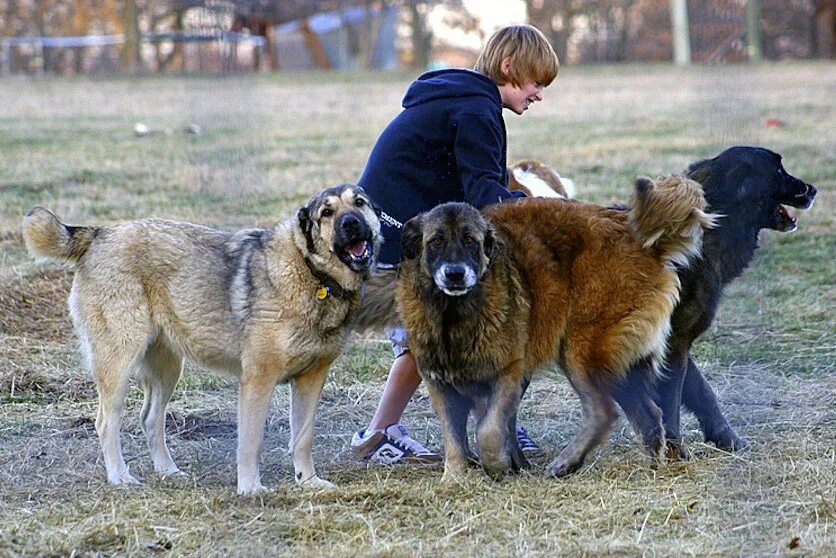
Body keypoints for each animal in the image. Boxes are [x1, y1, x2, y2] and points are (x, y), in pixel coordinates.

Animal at [22, 186, 382, 496]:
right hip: (118, 364)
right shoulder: (257, 380)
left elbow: (303, 438)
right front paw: (250, 488)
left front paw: (308, 482)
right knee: (106, 423)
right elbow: (250, 442)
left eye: (359, 203)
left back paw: (168, 471)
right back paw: (120, 477)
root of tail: (99, 234)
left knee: (150, 419)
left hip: (168, 369)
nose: (352, 223)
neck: (313, 275)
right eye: (327, 212)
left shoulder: (311, 380)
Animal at [396, 177, 716, 484]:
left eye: (470, 241)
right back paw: (650, 469)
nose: (455, 274)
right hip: (617, 361)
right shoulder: (440, 383)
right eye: (436, 241)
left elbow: (488, 429)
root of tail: (635, 233)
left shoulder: (508, 372)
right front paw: (454, 477)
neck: (453, 315)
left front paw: (495, 464)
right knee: (648, 415)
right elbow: (454, 439)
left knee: (603, 411)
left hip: (581, 350)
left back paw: (567, 462)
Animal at [612, 147, 816, 458]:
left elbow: (701, 392)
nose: (813, 190)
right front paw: (675, 453)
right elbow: (670, 404)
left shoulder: (673, 343)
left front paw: (725, 438)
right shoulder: (673, 345)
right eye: (779, 170)